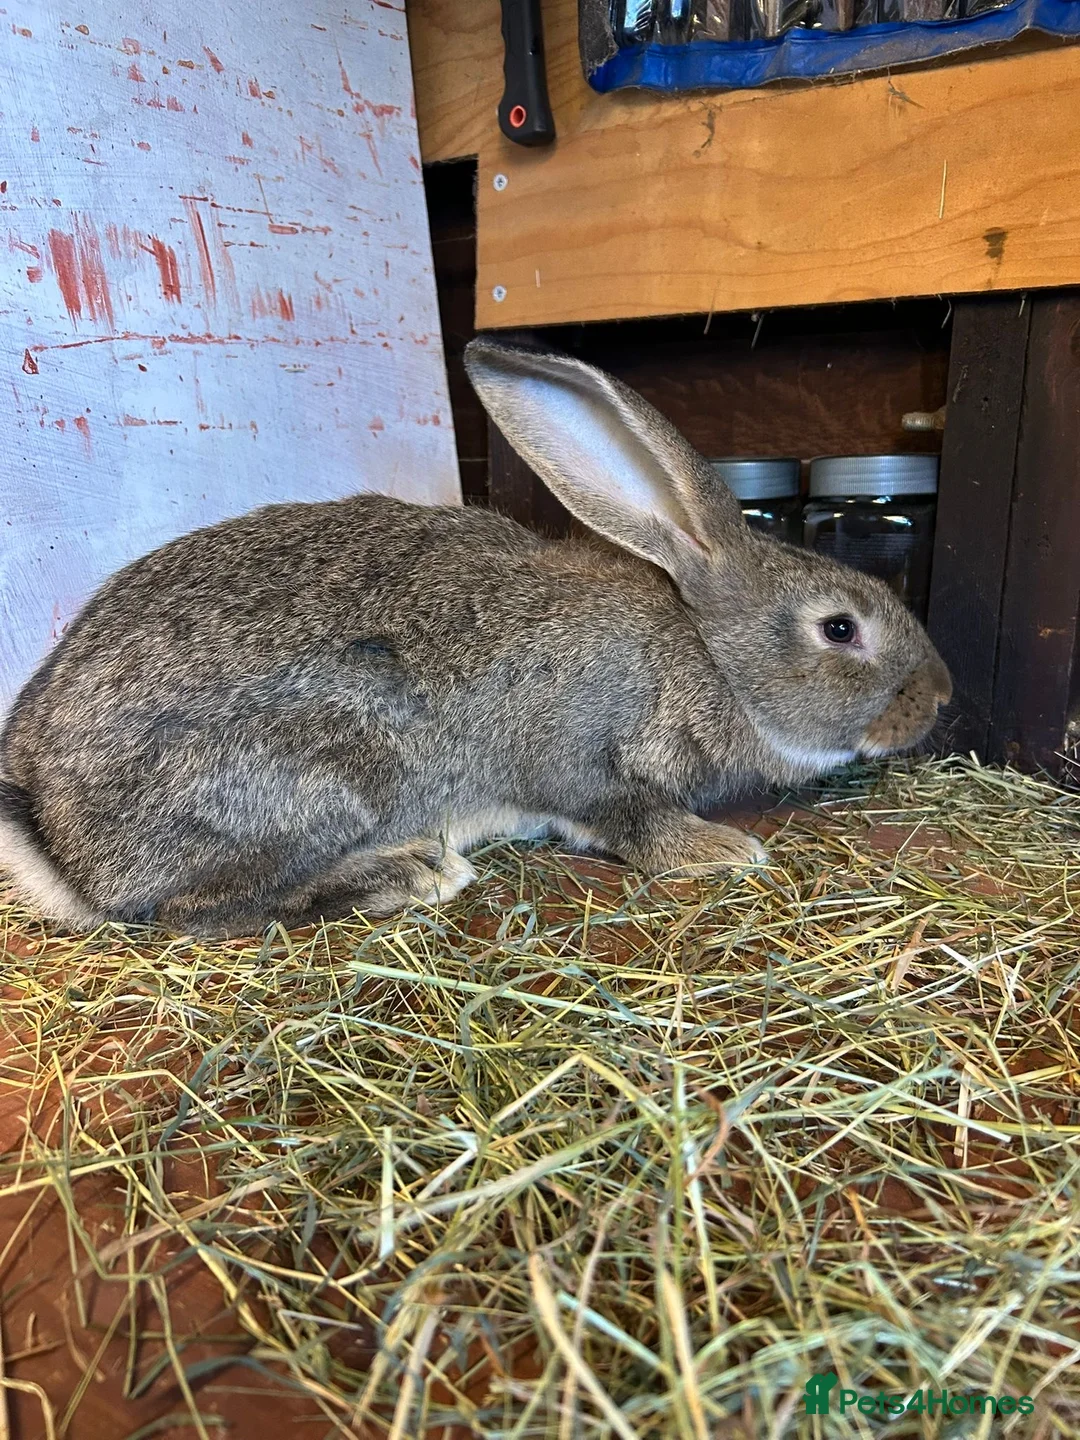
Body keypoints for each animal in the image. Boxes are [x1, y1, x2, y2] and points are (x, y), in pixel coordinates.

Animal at [0, 337, 951, 937]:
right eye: (840, 628)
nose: (938, 697)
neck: (706, 654)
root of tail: (55, 836)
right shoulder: (578, 754)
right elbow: (624, 814)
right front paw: (721, 851)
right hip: (327, 776)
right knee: (194, 913)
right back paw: (407, 874)